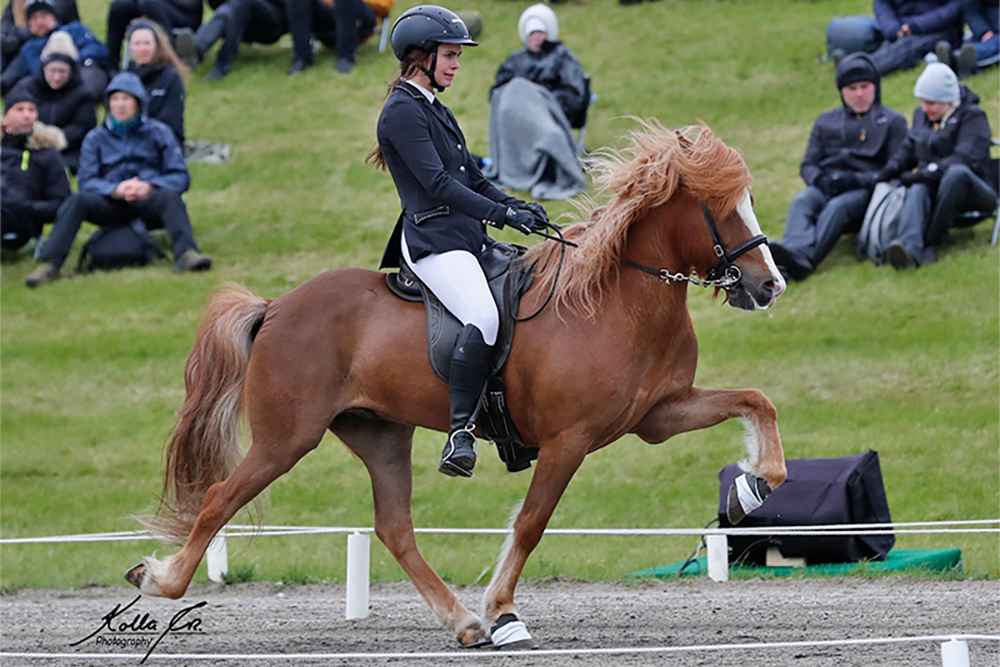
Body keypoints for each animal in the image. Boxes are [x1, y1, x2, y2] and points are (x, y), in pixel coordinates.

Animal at [129, 120, 788, 648]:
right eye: (720, 205)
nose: (769, 285)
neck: (617, 298)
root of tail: (276, 307)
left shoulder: (659, 415)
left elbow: (758, 402)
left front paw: (751, 489)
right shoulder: (568, 440)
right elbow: (531, 524)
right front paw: (504, 614)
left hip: (380, 434)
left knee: (394, 529)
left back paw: (463, 623)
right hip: (285, 438)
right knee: (220, 498)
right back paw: (161, 580)